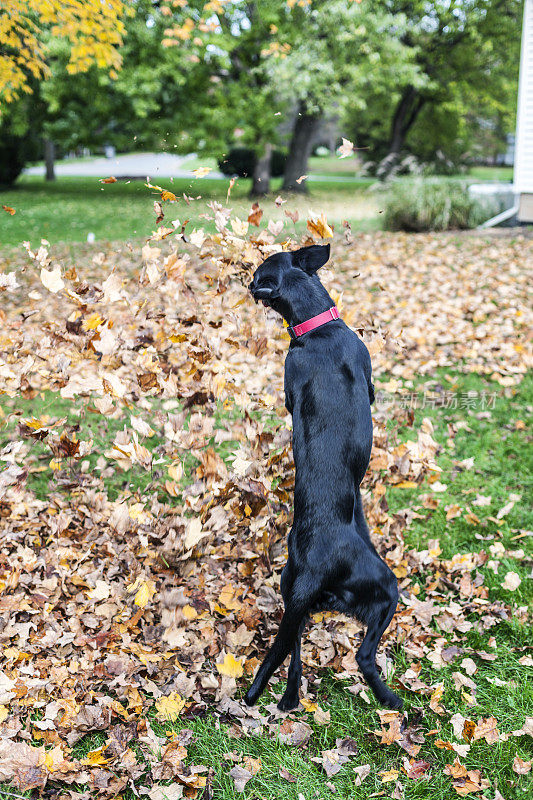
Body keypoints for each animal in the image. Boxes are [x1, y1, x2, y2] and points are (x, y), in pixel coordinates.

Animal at [244, 241, 400, 708]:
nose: (246, 280)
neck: (316, 328)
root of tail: (315, 572)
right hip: (387, 587)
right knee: (362, 656)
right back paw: (391, 699)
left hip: (293, 589)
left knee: (293, 650)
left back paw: (290, 698)